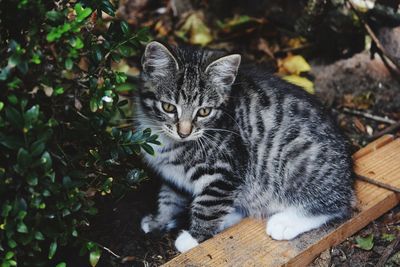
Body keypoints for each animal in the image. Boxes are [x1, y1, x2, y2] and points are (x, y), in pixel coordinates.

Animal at [136, 41, 354, 253]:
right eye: (169, 107)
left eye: (204, 111)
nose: (184, 132)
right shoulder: (173, 177)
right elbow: (169, 198)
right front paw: (158, 221)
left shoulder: (227, 169)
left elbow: (208, 205)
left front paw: (193, 238)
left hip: (297, 161)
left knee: (338, 206)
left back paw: (285, 222)